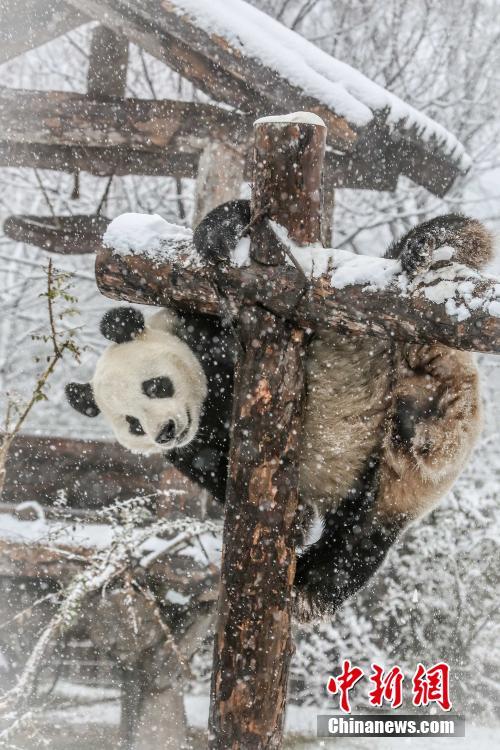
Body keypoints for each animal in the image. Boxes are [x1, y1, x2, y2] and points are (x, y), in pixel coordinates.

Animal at [65, 203, 492, 620]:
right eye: (133, 424)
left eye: (155, 386)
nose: (167, 430)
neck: (206, 405)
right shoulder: (194, 447)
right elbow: (216, 469)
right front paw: (296, 520)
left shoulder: (207, 330)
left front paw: (219, 235)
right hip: (382, 476)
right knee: (359, 536)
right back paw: (309, 586)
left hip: (385, 334)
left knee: (439, 245)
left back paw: (421, 252)